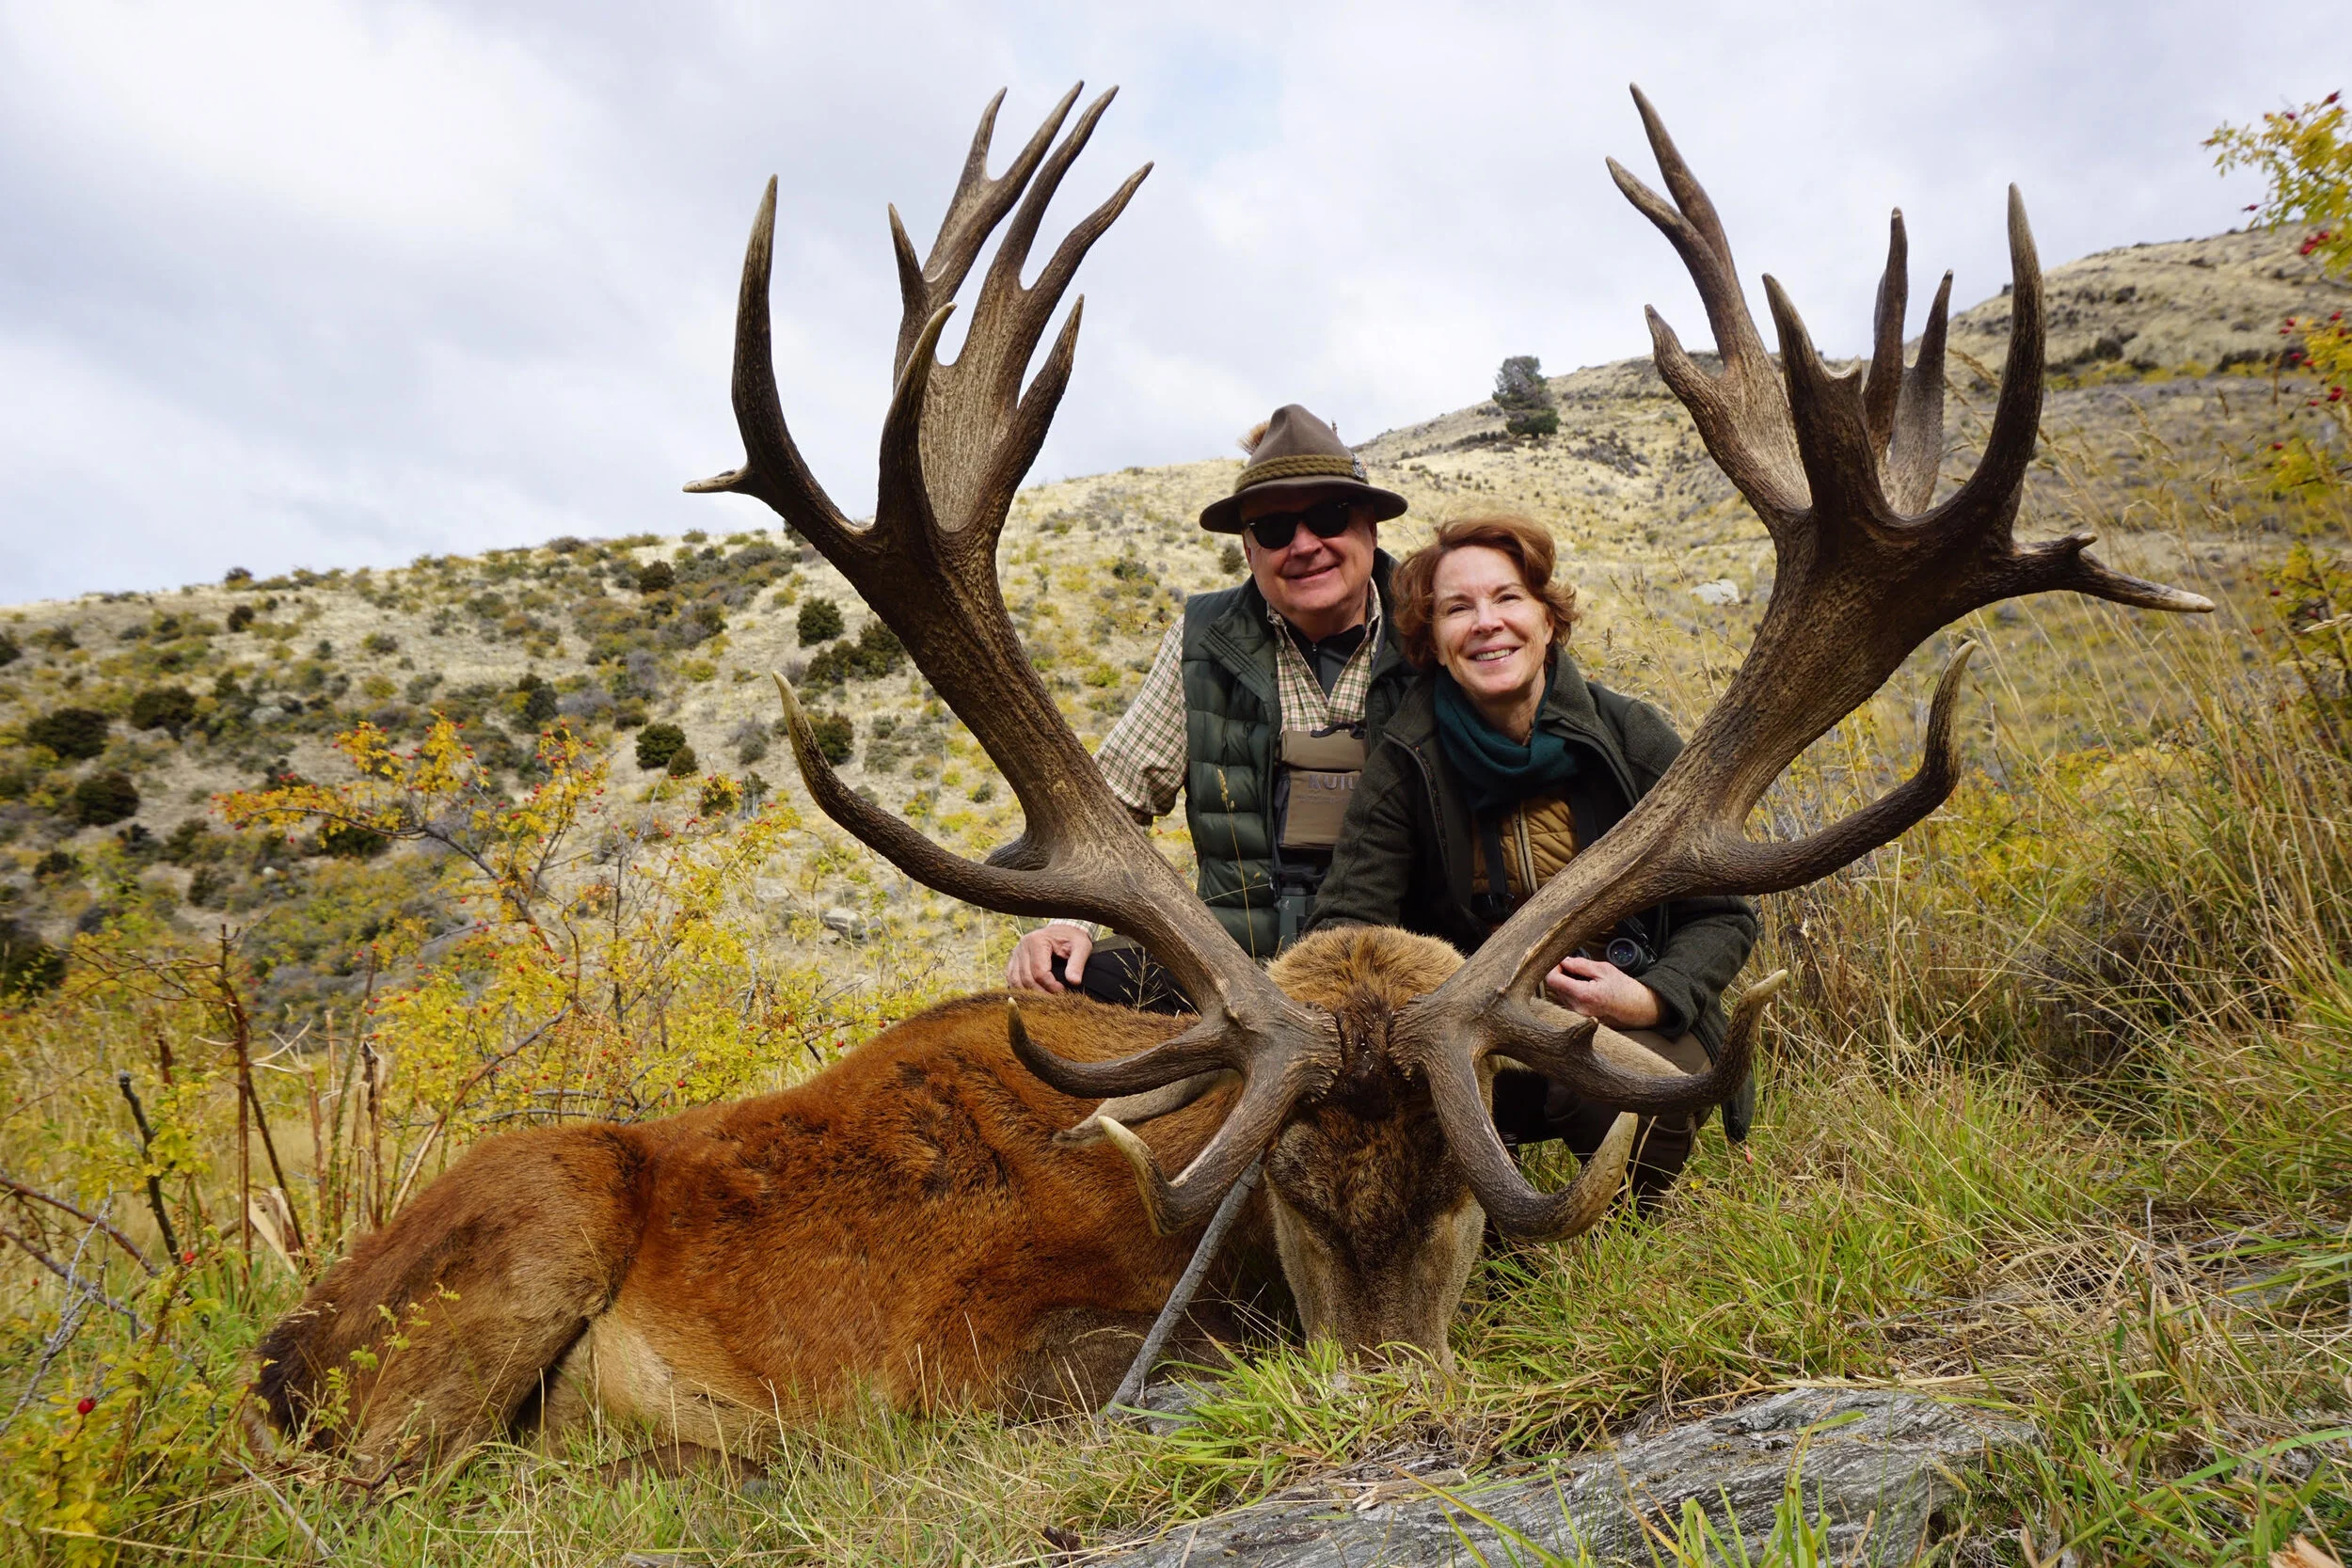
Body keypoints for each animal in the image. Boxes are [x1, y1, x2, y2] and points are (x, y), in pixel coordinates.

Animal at [253, 84, 2209, 1476]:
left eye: (1458, 1200)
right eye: (1292, 1197)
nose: (1396, 1401)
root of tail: (284, 1339)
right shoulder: (987, 1351)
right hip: (520, 1234)